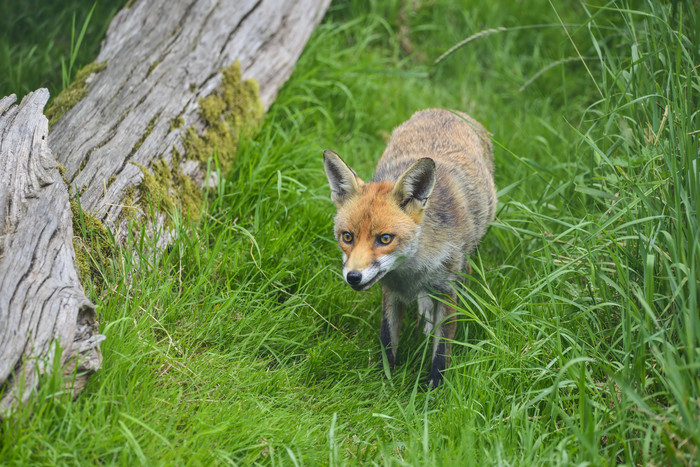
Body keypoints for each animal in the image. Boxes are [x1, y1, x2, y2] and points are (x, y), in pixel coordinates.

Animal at [324, 109, 498, 388]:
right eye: (347, 237)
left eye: (385, 239)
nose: (353, 277)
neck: (411, 272)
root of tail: (447, 110)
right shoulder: (390, 291)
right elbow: (387, 339)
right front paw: (384, 380)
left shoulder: (448, 289)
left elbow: (442, 348)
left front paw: (434, 387)